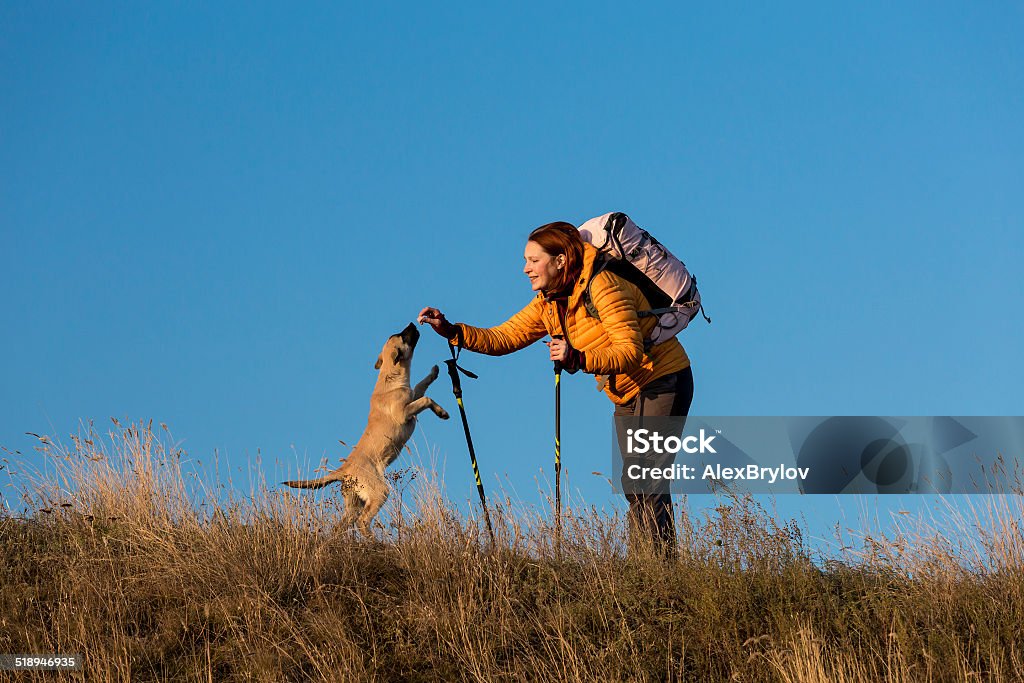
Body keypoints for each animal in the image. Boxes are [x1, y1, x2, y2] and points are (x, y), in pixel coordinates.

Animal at [286, 323, 450, 536]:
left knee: (343, 525)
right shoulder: (404, 413)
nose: (413, 324)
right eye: (402, 335)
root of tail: (343, 470)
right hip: (379, 492)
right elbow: (426, 399)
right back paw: (376, 542)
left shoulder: (412, 396)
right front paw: (441, 412)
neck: (391, 377)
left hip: (354, 503)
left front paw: (433, 373)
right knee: (363, 521)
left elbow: (421, 387)